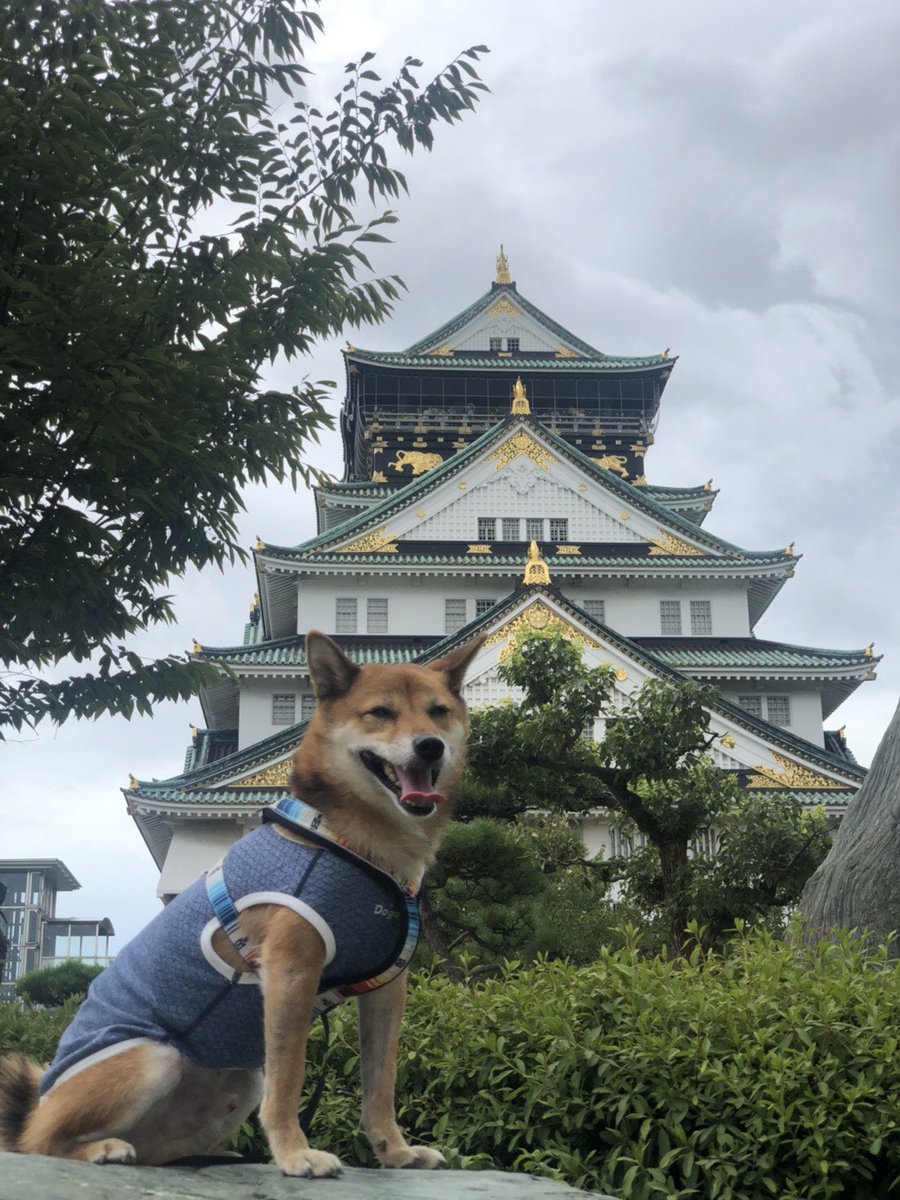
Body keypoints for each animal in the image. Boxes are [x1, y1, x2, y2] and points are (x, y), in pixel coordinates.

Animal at [0, 633, 487, 1176]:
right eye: (380, 712)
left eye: (438, 712)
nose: (430, 744)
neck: (353, 843)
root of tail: (41, 1099)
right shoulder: (291, 969)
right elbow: (290, 1079)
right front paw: (295, 1153)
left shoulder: (386, 988)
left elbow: (381, 1082)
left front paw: (396, 1152)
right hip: (153, 1059)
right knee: (41, 1143)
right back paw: (99, 1148)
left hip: (237, 1080)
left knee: (154, 1151)